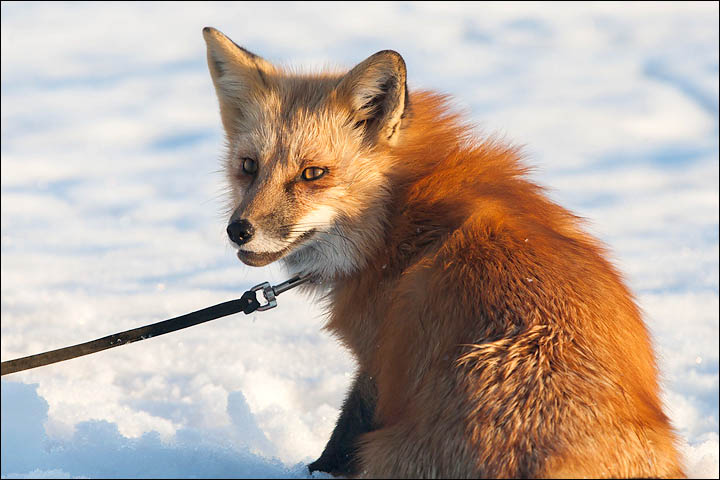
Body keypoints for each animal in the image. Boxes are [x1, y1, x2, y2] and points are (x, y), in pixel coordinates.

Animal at [202, 28, 688, 478]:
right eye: (248, 167)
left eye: (312, 174)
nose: (238, 231)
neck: (398, 216)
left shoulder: (377, 363)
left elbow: (340, 441)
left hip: (385, 447)